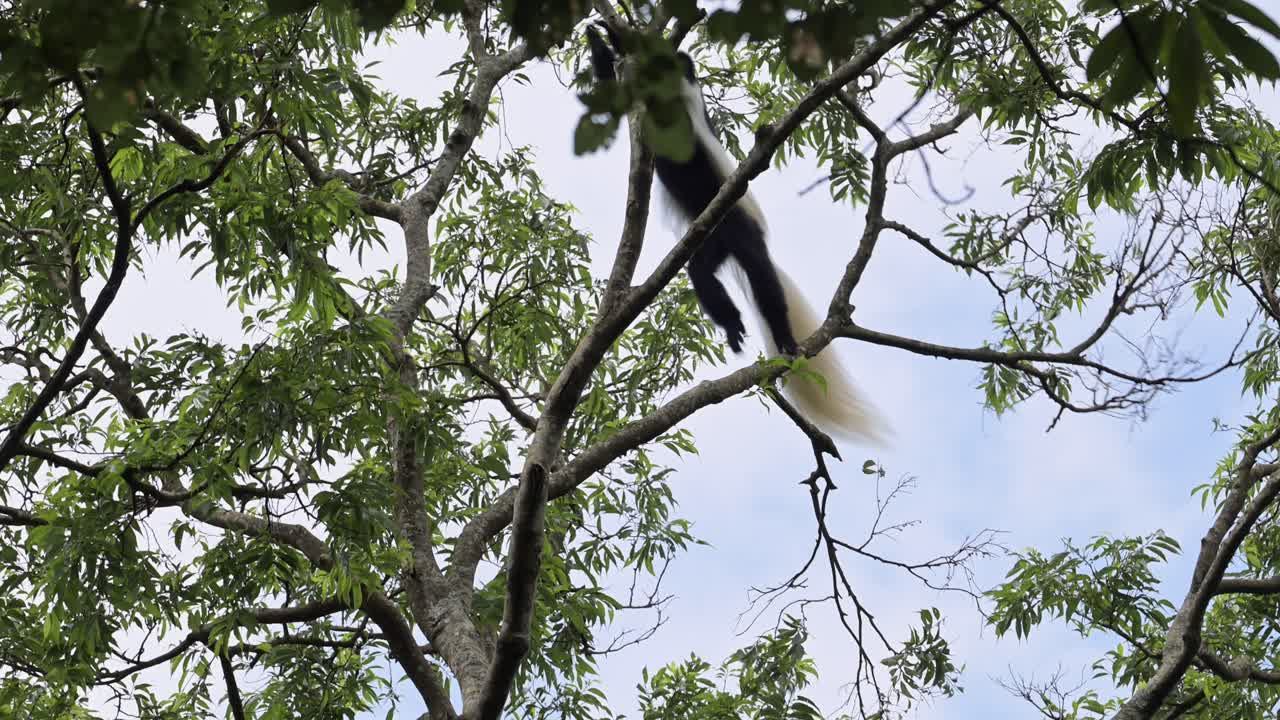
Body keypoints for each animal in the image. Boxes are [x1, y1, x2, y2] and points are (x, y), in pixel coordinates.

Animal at [586, 24, 887, 444]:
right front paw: (597, 40)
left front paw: (615, 36)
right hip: (713, 242)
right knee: (702, 274)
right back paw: (732, 327)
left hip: (740, 232)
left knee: (764, 281)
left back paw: (784, 339)